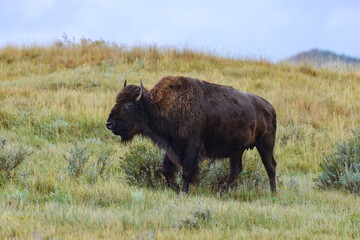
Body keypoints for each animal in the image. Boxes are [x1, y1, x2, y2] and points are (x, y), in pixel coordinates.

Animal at [105, 76, 278, 195]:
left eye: (128, 104)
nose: (109, 123)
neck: (159, 105)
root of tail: (270, 107)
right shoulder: (172, 147)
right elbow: (167, 170)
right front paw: (176, 189)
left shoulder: (192, 147)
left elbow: (187, 171)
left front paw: (183, 192)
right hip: (237, 151)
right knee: (236, 170)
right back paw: (222, 192)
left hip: (265, 145)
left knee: (270, 167)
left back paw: (273, 193)